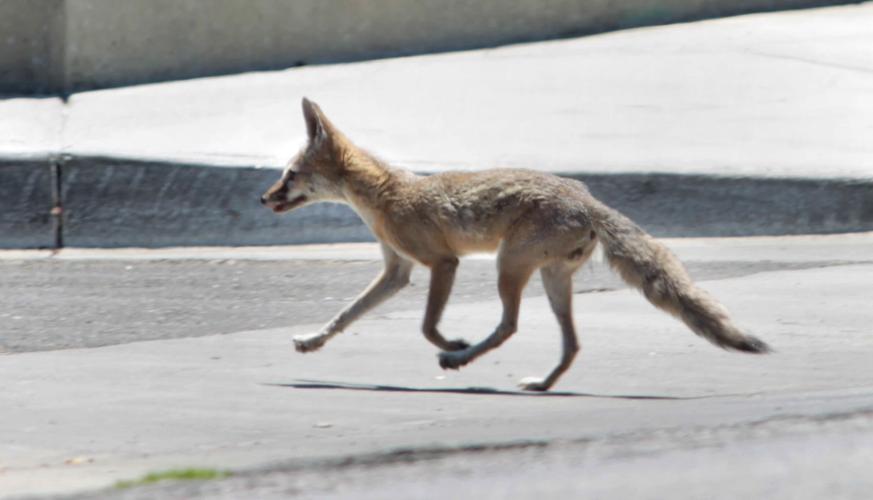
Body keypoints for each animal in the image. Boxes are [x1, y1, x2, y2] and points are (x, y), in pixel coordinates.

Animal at [261, 98, 771, 392]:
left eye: (290, 175)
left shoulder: (442, 263)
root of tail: (587, 199)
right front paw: (312, 342)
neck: (386, 195)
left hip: (509, 267)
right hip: (549, 279)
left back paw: (460, 359)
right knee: (571, 344)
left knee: (510, 326)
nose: (263, 198)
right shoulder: (397, 271)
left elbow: (426, 326)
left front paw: (452, 342)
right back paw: (542, 384)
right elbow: (346, 315)